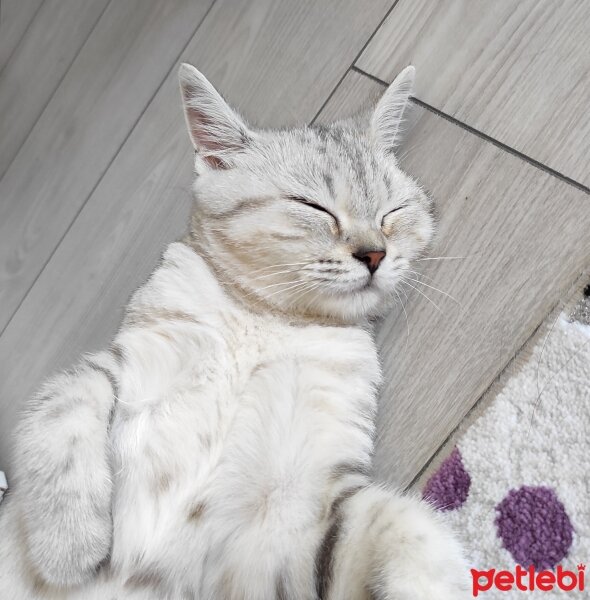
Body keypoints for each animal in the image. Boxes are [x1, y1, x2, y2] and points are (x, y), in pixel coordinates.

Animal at [0, 63, 472, 596]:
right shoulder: (124, 362)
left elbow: (411, 528)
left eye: (393, 212)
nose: (374, 253)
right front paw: (69, 543)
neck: (265, 322)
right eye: (313, 207)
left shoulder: (294, 515)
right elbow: (61, 404)